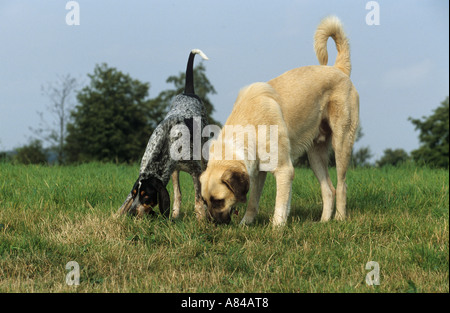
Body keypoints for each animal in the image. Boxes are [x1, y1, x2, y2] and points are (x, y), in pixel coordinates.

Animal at [118, 48, 209, 219]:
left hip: (204, 152)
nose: (132, 213)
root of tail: (188, 93)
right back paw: (175, 213)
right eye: (134, 194)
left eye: (147, 196)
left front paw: (201, 218)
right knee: (178, 194)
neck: (165, 142)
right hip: (174, 172)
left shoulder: (196, 171)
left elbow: (199, 199)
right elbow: (124, 204)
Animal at [200, 16, 358, 224]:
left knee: (341, 185)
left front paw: (276, 227)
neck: (249, 126)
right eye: (205, 201)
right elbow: (253, 202)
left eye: (218, 200)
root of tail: (338, 69)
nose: (212, 224)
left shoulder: (284, 170)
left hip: (341, 144)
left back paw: (339, 218)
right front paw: (245, 224)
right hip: (315, 155)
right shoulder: (258, 171)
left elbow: (280, 204)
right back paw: (324, 222)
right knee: (328, 189)